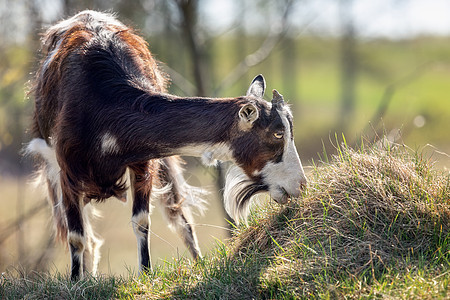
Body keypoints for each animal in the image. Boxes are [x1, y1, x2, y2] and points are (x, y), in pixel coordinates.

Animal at [26, 10, 308, 280]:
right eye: (278, 134)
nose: (301, 185)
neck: (103, 105)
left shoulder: (142, 161)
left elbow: (141, 221)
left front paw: (146, 274)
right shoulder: (67, 170)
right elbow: (76, 235)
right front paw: (75, 282)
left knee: (178, 216)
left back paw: (198, 263)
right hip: (53, 170)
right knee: (80, 231)